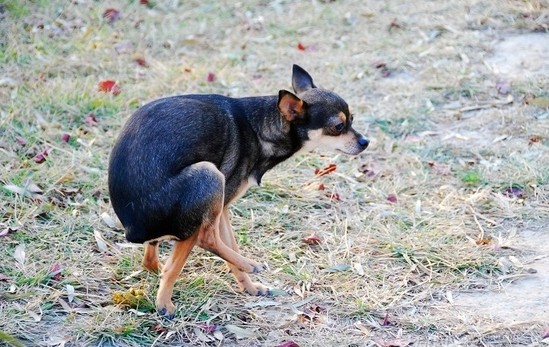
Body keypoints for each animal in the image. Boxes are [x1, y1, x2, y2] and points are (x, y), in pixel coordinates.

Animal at [108, 64, 368, 318]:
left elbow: (231, 245)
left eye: (352, 119)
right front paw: (246, 274)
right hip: (209, 175)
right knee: (204, 239)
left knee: (152, 258)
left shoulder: (223, 208)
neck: (262, 125)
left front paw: (250, 288)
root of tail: (133, 229)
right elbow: (223, 244)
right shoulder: (223, 201)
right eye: (338, 127)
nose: (365, 142)